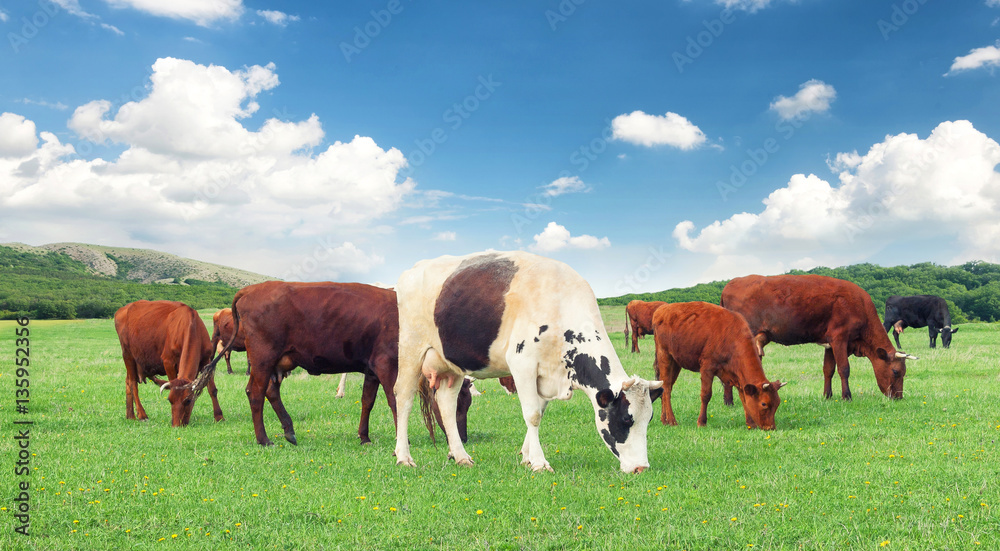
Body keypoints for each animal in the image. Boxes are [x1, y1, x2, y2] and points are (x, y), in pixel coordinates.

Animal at [203, 282, 472, 446]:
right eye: (458, 403)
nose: (464, 438)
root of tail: (252, 289)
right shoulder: (388, 365)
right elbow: (395, 401)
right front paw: (401, 440)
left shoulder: (372, 370)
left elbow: (367, 401)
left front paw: (364, 436)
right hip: (262, 358)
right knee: (256, 393)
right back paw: (264, 439)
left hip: (277, 362)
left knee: (270, 391)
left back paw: (289, 430)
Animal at [392, 251, 664, 474]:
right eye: (626, 419)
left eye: (649, 419)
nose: (641, 468)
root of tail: (413, 269)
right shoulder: (522, 364)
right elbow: (532, 414)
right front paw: (539, 462)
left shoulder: (546, 374)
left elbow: (539, 412)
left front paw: (526, 456)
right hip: (411, 349)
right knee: (403, 397)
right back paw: (404, 457)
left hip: (452, 364)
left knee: (446, 405)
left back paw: (461, 456)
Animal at [652, 302, 784, 432]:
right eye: (764, 404)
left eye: (777, 403)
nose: (770, 427)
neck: (732, 337)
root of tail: (662, 309)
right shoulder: (707, 368)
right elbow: (706, 395)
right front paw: (701, 422)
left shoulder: (737, 375)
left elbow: (743, 396)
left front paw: (751, 424)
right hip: (665, 355)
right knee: (666, 387)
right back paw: (672, 421)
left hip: (676, 362)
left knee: (667, 387)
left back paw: (664, 420)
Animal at [724, 274, 916, 402]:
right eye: (896, 371)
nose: (898, 397)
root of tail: (733, 282)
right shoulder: (840, 338)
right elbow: (844, 369)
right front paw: (847, 396)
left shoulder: (830, 343)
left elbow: (828, 369)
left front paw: (827, 396)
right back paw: (730, 401)